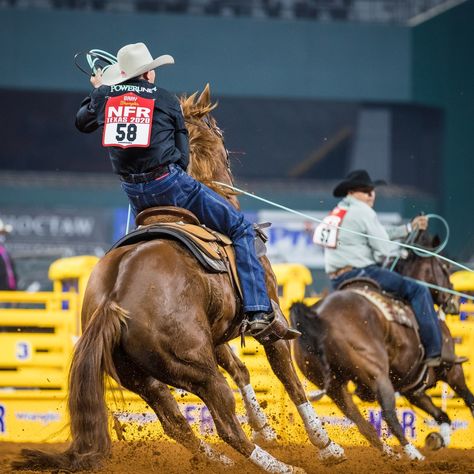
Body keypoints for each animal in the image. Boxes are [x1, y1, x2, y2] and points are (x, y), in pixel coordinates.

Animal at [14, 87, 344, 472]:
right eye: (217, 130)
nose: (229, 158)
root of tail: (113, 299)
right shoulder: (270, 322)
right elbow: (288, 379)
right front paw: (326, 445)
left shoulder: (215, 333)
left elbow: (241, 370)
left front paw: (265, 427)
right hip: (195, 369)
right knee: (224, 422)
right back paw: (279, 465)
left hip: (144, 378)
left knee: (175, 423)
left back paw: (218, 459)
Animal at [288, 231, 474, 462]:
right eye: (445, 267)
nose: (454, 302)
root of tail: (318, 316)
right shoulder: (452, 371)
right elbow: (469, 399)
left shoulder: (412, 388)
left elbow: (442, 415)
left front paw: (439, 439)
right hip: (377, 375)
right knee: (388, 414)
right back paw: (413, 456)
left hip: (334, 386)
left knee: (361, 423)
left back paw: (390, 454)